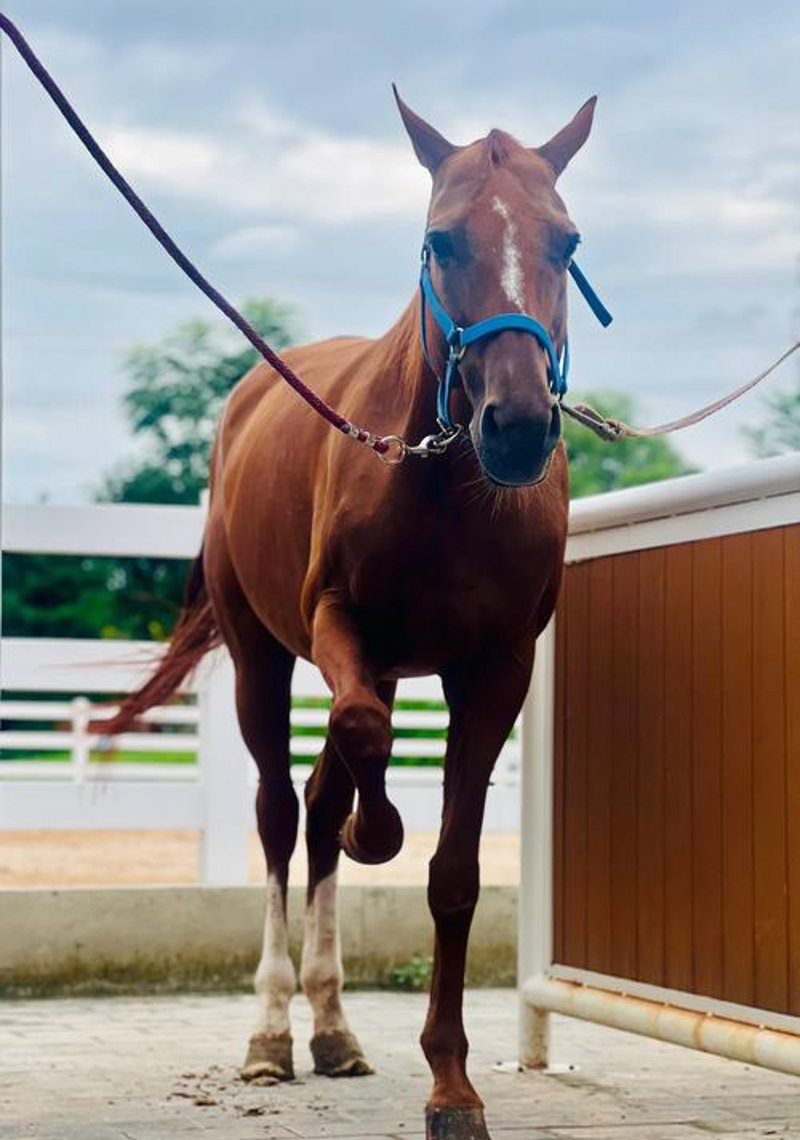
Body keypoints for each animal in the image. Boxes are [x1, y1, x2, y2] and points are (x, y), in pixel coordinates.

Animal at [108, 92, 598, 1140]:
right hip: (262, 659)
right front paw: (381, 833)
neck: (448, 483)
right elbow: (362, 747)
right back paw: (272, 1033)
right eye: (441, 239)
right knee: (282, 811)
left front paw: (452, 1087)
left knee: (323, 797)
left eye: (568, 241)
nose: (518, 427)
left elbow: (452, 873)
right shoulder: (342, 628)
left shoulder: (496, 668)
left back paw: (334, 1030)